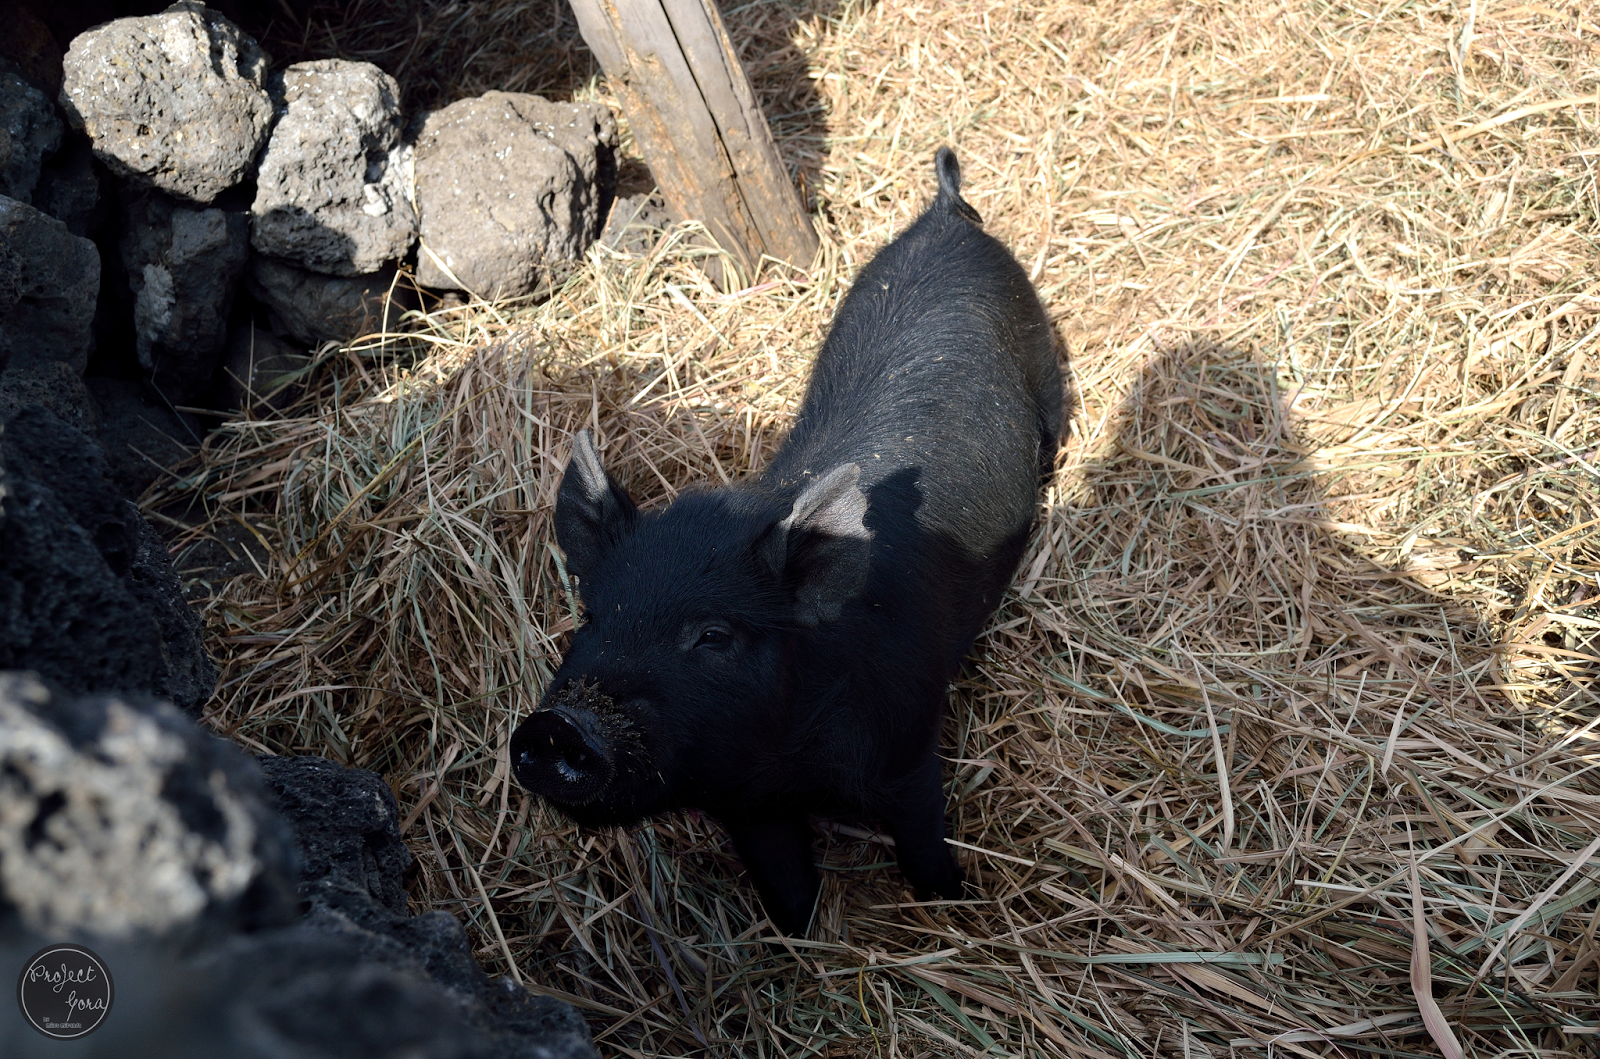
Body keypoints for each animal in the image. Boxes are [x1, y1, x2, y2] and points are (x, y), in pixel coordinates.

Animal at [511, 148, 1062, 935]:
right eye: (590, 617)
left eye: (713, 634)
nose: (558, 725)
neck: (787, 766)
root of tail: (946, 214)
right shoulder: (748, 807)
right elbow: (785, 886)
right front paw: (796, 936)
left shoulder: (909, 746)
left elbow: (923, 840)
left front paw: (951, 902)